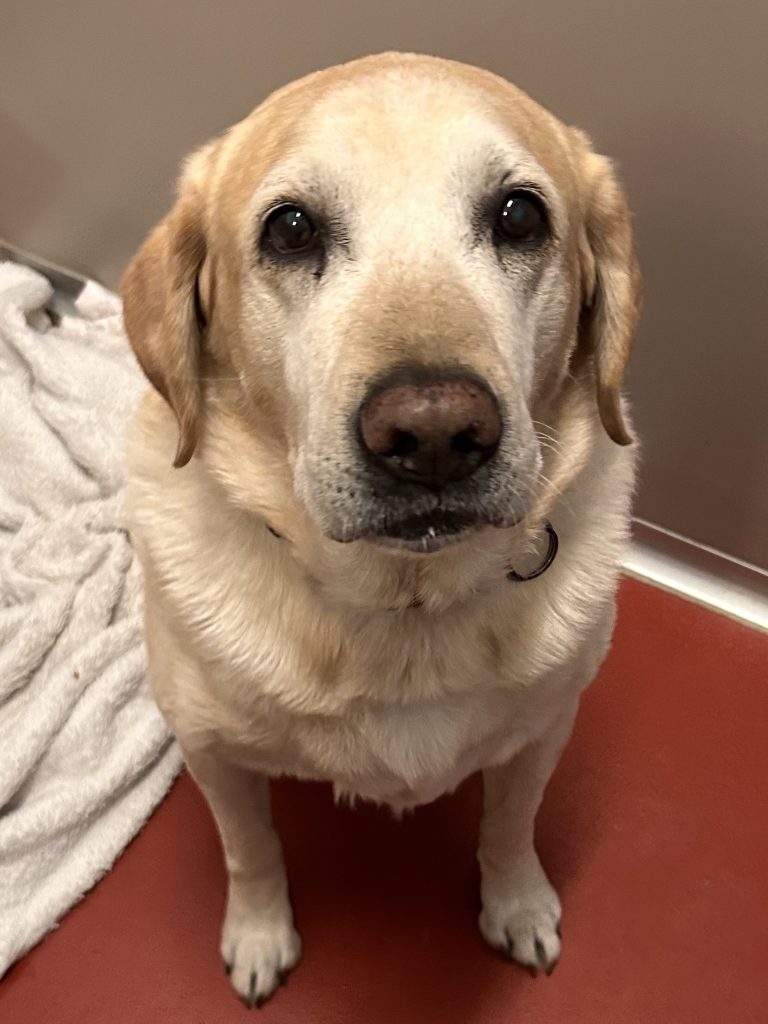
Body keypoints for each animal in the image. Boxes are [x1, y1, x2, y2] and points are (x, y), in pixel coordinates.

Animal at [121, 52, 641, 1007]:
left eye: (520, 215)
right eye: (290, 231)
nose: (433, 434)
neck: (407, 610)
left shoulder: (545, 731)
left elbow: (512, 826)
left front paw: (517, 904)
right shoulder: (215, 757)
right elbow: (249, 850)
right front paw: (259, 934)